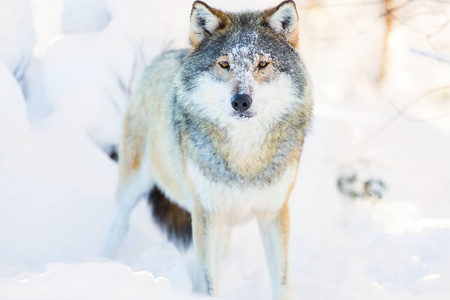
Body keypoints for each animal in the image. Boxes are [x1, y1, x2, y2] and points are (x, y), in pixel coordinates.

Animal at [102, 1, 312, 298]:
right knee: (121, 221)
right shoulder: (206, 214)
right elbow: (209, 281)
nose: (241, 101)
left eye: (262, 64)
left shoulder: (274, 212)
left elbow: (281, 282)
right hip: (134, 185)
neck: (244, 158)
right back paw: (103, 262)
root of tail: (168, 55)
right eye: (224, 64)